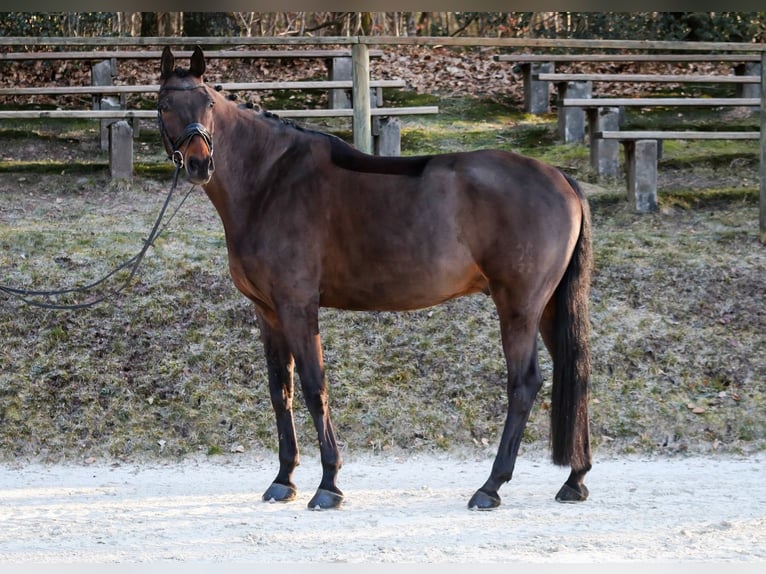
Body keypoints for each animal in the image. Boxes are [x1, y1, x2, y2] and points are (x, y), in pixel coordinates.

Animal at [159, 47, 596, 510]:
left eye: (208, 103)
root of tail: (560, 177)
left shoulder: (298, 307)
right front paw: (283, 479)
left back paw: (491, 486)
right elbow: (282, 392)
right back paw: (574, 479)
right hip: (548, 307)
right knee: (576, 372)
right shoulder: (268, 313)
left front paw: (328, 484)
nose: (199, 163)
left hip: (519, 306)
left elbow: (315, 387)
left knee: (524, 383)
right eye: (166, 104)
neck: (270, 181)